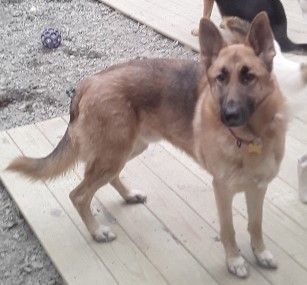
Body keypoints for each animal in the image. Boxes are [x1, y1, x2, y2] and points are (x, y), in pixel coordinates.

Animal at [8, 13, 290, 278]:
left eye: (248, 77)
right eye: (220, 78)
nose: (227, 116)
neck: (251, 138)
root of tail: (87, 82)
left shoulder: (258, 188)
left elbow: (256, 225)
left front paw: (260, 253)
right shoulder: (223, 190)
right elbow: (228, 229)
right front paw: (234, 261)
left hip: (127, 150)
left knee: (107, 178)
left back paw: (128, 195)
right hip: (114, 154)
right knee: (78, 195)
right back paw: (97, 231)